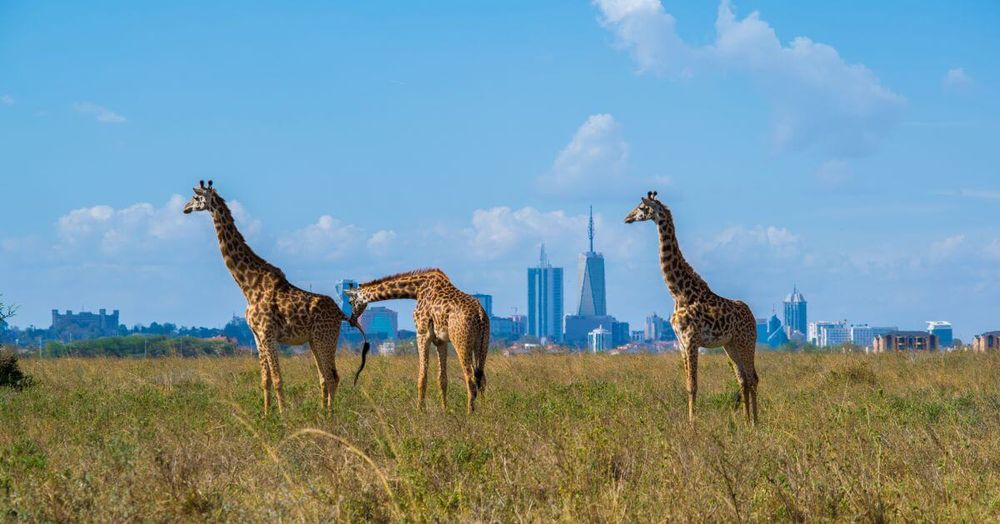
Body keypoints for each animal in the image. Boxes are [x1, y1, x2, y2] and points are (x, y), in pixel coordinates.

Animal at [183, 180, 367, 414]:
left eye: (196, 197)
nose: (185, 208)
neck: (248, 285)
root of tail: (341, 313)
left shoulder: (268, 333)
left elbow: (278, 379)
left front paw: (283, 415)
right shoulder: (257, 336)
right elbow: (265, 380)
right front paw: (265, 414)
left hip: (325, 338)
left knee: (333, 376)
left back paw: (329, 415)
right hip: (314, 340)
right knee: (324, 377)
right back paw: (321, 412)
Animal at [346, 269, 489, 413]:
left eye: (350, 302)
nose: (352, 320)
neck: (417, 290)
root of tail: (480, 315)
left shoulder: (421, 333)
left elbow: (422, 377)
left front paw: (419, 410)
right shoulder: (440, 341)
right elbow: (442, 379)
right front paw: (444, 410)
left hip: (460, 342)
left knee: (471, 379)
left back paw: (470, 413)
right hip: (482, 343)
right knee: (481, 378)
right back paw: (484, 411)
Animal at [625, 191, 759, 424]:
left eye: (641, 208)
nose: (627, 218)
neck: (678, 292)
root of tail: (752, 316)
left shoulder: (691, 339)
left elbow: (693, 385)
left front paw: (692, 423)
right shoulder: (680, 342)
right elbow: (688, 385)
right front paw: (691, 420)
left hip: (746, 341)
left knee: (752, 378)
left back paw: (756, 422)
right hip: (730, 344)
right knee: (743, 378)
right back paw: (746, 420)